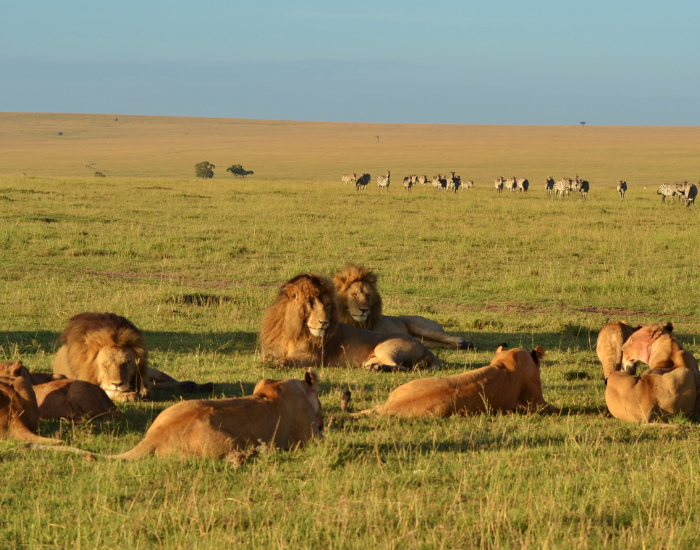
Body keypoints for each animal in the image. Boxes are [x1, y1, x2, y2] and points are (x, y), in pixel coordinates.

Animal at [259, 274, 439, 371]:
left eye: (327, 305)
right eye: (311, 303)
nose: (324, 322)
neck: (294, 329)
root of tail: (424, 347)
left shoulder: (314, 357)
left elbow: (286, 360)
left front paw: (276, 364)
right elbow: (266, 357)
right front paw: (266, 361)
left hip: (386, 348)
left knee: (400, 366)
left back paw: (379, 369)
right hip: (370, 359)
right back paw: (375, 367)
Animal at [333, 264, 471, 350]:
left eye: (368, 295)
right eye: (355, 294)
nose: (364, 310)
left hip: (422, 327)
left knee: (445, 337)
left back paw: (462, 341)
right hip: (424, 341)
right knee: (439, 343)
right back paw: (463, 345)